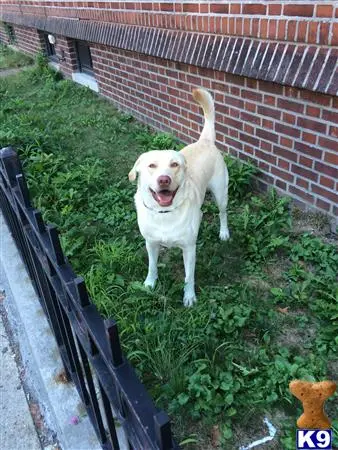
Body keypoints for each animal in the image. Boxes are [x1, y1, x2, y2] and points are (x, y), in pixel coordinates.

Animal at [128, 88, 228, 306]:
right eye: (151, 165)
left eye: (174, 164)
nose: (164, 180)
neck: (164, 213)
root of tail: (204, 141)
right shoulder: (151, 243)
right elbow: (152, 266)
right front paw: (149, 284)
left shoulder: (189, 248)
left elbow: (189, 276)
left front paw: (189, 297)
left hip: (221, 194)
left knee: (223, 213)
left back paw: (224, 232)